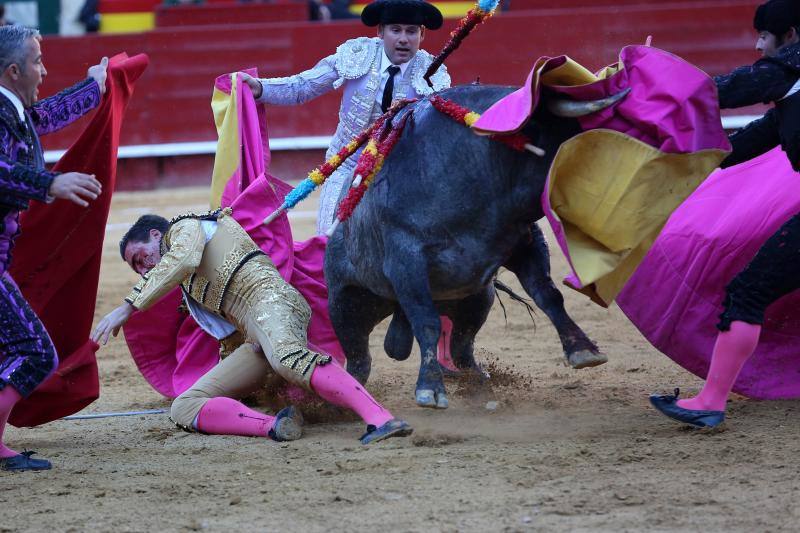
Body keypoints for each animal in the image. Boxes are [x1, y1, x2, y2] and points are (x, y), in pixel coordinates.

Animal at [324, 84, 608, 408]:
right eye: (567, 140)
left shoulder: (523, 242)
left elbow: (548, 294)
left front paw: (582, 349)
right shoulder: (406, 261)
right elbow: (427, 322)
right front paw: (430, 389)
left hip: (476, 301)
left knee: (462, 351)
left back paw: (482, 388)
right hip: (345, 304)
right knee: (360, 361)